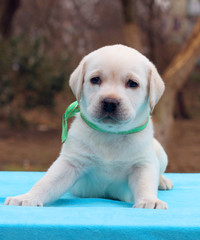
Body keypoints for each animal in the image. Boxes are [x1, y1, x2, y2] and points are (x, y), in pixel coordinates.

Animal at [4, 44, 173, 208]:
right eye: (95, 80)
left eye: (132, 83)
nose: (110, 102)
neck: (111, 134)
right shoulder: (71, 162)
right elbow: (46, 182)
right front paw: (27, 198)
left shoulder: (142, 164)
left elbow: (145, 184)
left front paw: (150, 201)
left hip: (161, 153)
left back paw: (162, 181)